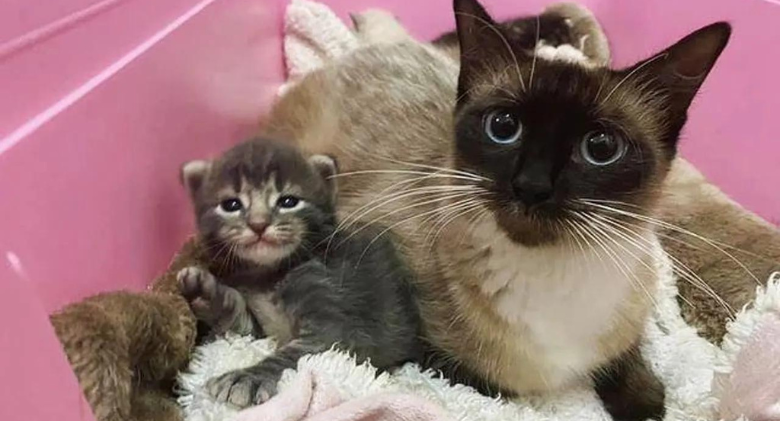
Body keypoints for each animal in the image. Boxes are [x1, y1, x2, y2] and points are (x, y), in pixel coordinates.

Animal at [178, 138, 420, 406]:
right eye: (231, 204)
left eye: (288, 202)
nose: (258, 224)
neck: (270, 274)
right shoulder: (258, 329)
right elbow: (239, 322)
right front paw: (205, 293)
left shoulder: (330, 322)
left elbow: (293, 356)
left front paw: (246, 378)